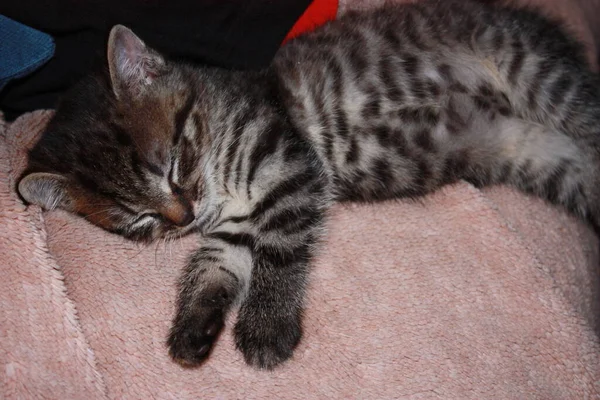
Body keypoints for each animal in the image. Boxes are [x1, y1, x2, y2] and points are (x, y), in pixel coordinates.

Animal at [16, 0, 600, 368]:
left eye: (174, 163)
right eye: (140, 219)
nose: (183, 217)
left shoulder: (291, 170)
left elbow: (278, 257)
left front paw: (266, 329)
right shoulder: (232, 227)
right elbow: (212, 265)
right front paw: (194, 329)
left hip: (535, 72)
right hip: (534, 154)